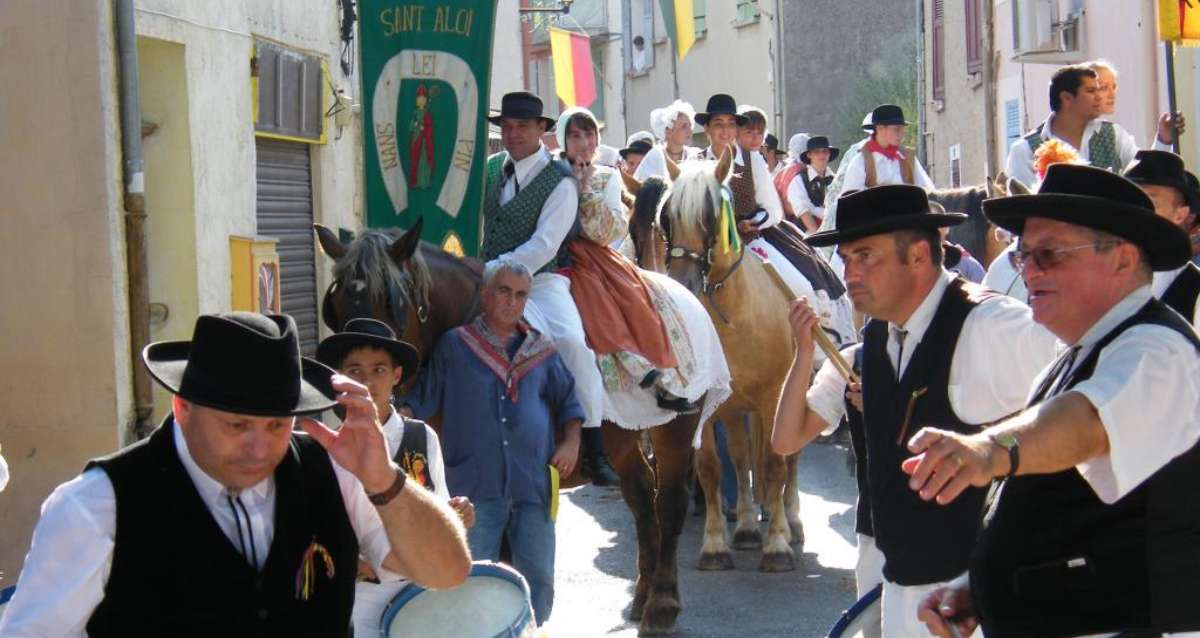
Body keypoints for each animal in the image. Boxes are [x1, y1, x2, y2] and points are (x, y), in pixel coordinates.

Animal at [314, 220, 710, 633]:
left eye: (392, 302)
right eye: (336, 306)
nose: (352, 386)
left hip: (676, 433)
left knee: (669, 503)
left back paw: (661, 605)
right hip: (627, 447)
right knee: (642, 497)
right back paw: (643, 595)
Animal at [628, 152, 806, 570]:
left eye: (711, 216)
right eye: (669, 217)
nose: (682, 283)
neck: (736, 314)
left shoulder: (775, 397)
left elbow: (775, 463)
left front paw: (777, 544)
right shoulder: (703, 403)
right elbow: (712, 468)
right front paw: (714, 546)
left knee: (788, 459)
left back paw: (790, 520)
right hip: (733, 407)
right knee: (740, 460)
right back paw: (745, 527)